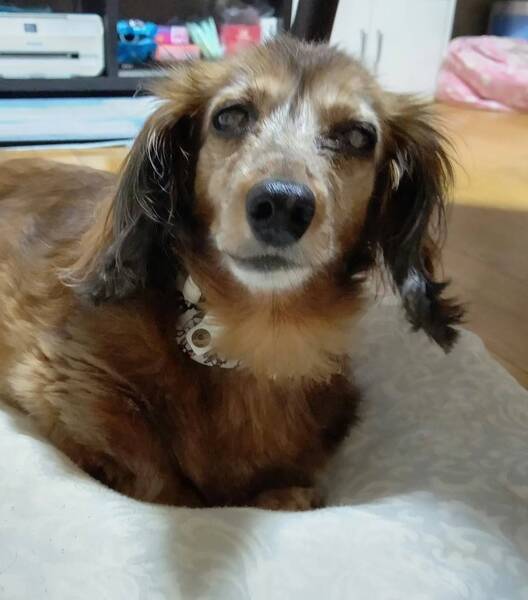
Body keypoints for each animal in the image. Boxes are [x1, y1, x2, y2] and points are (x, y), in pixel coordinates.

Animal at [0, 37, 462, 510]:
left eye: (357, 136)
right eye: (231, 116)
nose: (282, 204)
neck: (263, 332)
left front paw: (284, 494)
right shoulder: (65, 380)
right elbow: (163, 481)